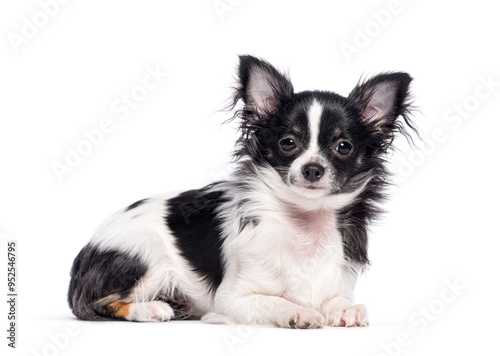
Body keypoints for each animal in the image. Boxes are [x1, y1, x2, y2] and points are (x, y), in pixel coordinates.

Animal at [68, 55, 416, 328]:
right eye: (288, 143)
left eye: (343, 147)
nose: (312, 168)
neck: (305, 223)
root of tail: (85, 252)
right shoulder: (231, 299)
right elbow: (274, 301)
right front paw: (298, 312)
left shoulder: (336, 283)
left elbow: (336, 301)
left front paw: (345, 310)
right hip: (145, 250)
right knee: (95, 304)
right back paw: (151, 308)